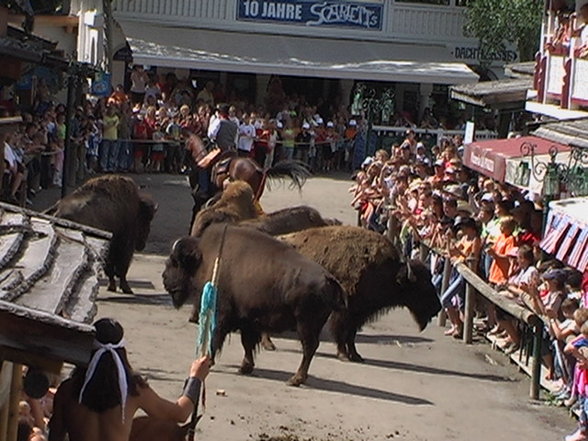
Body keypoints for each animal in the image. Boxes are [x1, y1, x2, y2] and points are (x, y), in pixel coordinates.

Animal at [162, 223, 344, 384]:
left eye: (176, 262)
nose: (164, 278)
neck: (203, 258)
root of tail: (328, 278)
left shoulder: (221, 316)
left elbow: (216, 339)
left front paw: (209, 361)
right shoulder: (247, 322)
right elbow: (247, 344)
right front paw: (245, 367)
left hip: (304, 325)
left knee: (309, 347)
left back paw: (295, 379)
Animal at [282, 227, 440, 360]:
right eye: (422, 287)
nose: (437, 308)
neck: (388, 271)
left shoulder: (359, 313)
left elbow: (351, 335)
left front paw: (356, 355)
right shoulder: (346, 312)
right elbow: (341, 331)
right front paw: (343, 354)